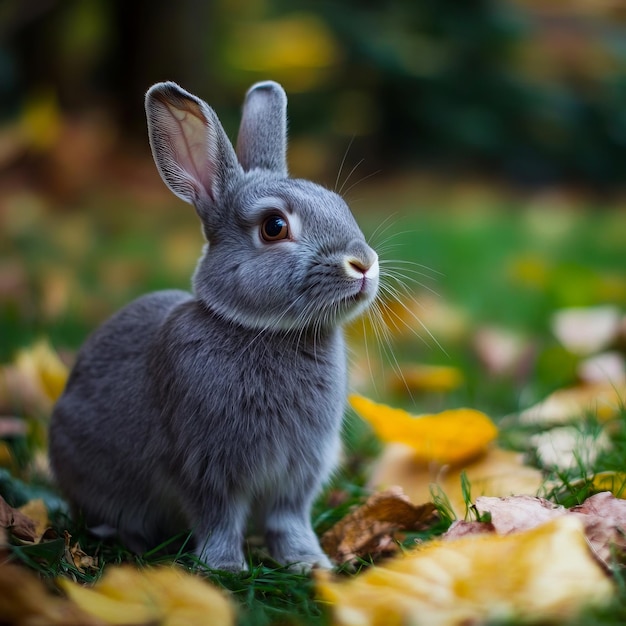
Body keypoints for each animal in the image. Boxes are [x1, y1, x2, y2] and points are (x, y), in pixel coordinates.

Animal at [48, 79, 378, 572]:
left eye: (339, 205)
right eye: (274, 226)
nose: (363, 264)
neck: (265, 330)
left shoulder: (298, 471)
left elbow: (287, 519)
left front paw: (309, 563)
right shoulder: (206, 465)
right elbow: (219, 517)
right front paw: (224, 567)